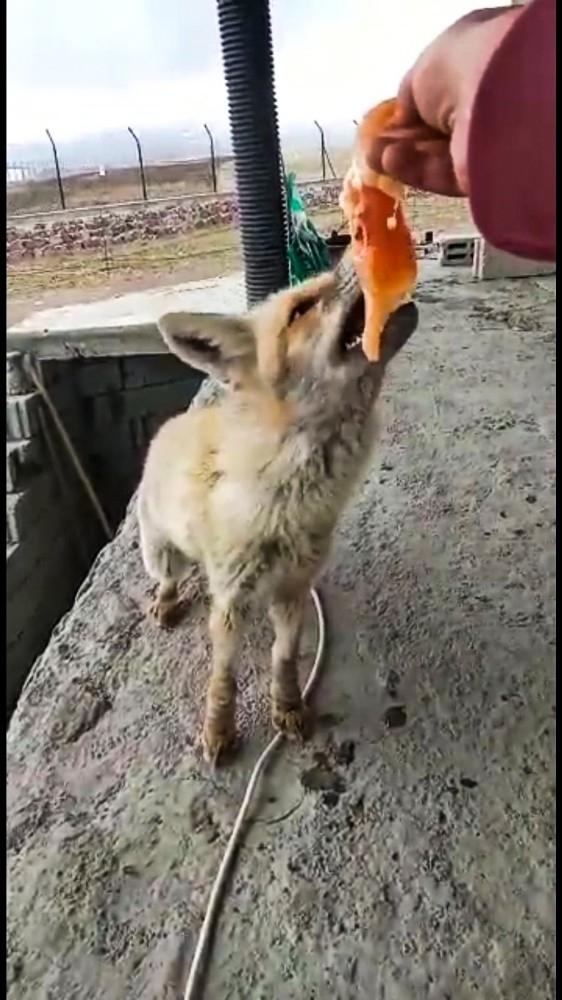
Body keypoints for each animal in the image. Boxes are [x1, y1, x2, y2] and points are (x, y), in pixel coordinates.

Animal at [136, 254, 416, 760]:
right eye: (301, 307)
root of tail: (172, 422)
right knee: (168, 577)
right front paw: (219, 731)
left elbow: (283, 660)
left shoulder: (293, 590)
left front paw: (287, 708)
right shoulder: (231, 599)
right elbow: (223, 678)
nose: (357, 249)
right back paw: (166, 602)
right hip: (161, 552)